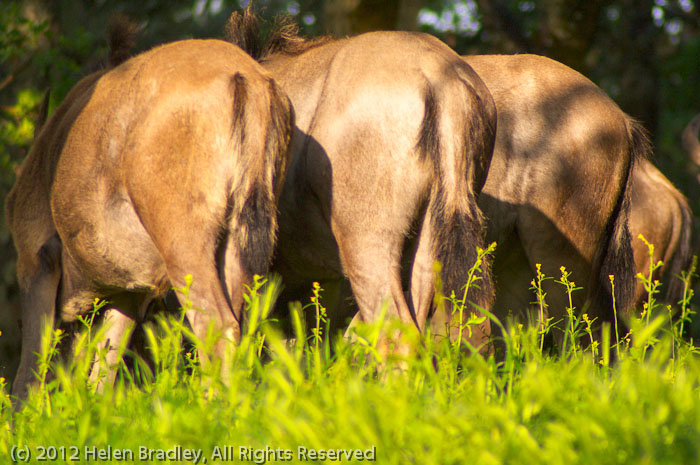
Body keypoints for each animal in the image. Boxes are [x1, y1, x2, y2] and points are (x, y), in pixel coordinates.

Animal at [4, 37, 292, 398]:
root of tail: (245, 78)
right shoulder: (129, 291)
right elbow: (105, 367)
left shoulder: (36, 259)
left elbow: (30, 370)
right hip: (242, 240)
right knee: (243, 327)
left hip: (182, 241)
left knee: (215, 324)